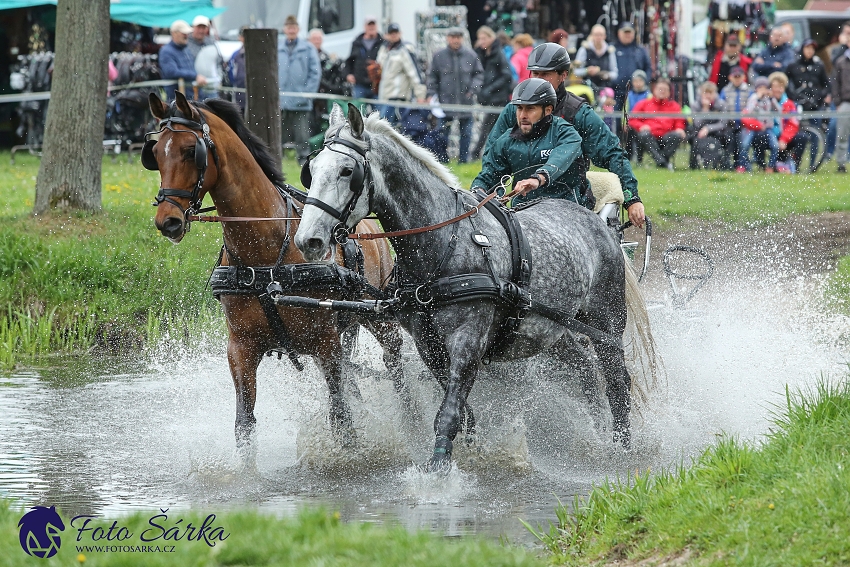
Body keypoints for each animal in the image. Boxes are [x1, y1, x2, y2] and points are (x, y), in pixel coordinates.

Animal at [147, 92, 408, 448]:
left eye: (191, 150)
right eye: (155, 152)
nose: (168, 221)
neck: (265, 258)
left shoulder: (326, 343)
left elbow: (342, 420)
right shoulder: (240, 350)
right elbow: (244, 424)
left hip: (379, 318)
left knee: (394, 365)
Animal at [294, 105, 652, 470]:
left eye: (347, 171)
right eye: (311, 170)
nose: (308, 239)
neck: (444, 243)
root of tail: (598, 224)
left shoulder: (468, 341)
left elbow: (449, 413)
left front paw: (439, 471)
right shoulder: (429, 346)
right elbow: (463, 414)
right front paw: (473, 453)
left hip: (605, 324)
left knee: (617, 382)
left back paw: (620, 446)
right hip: (551, 330)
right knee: (586, 373)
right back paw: (596, 432)